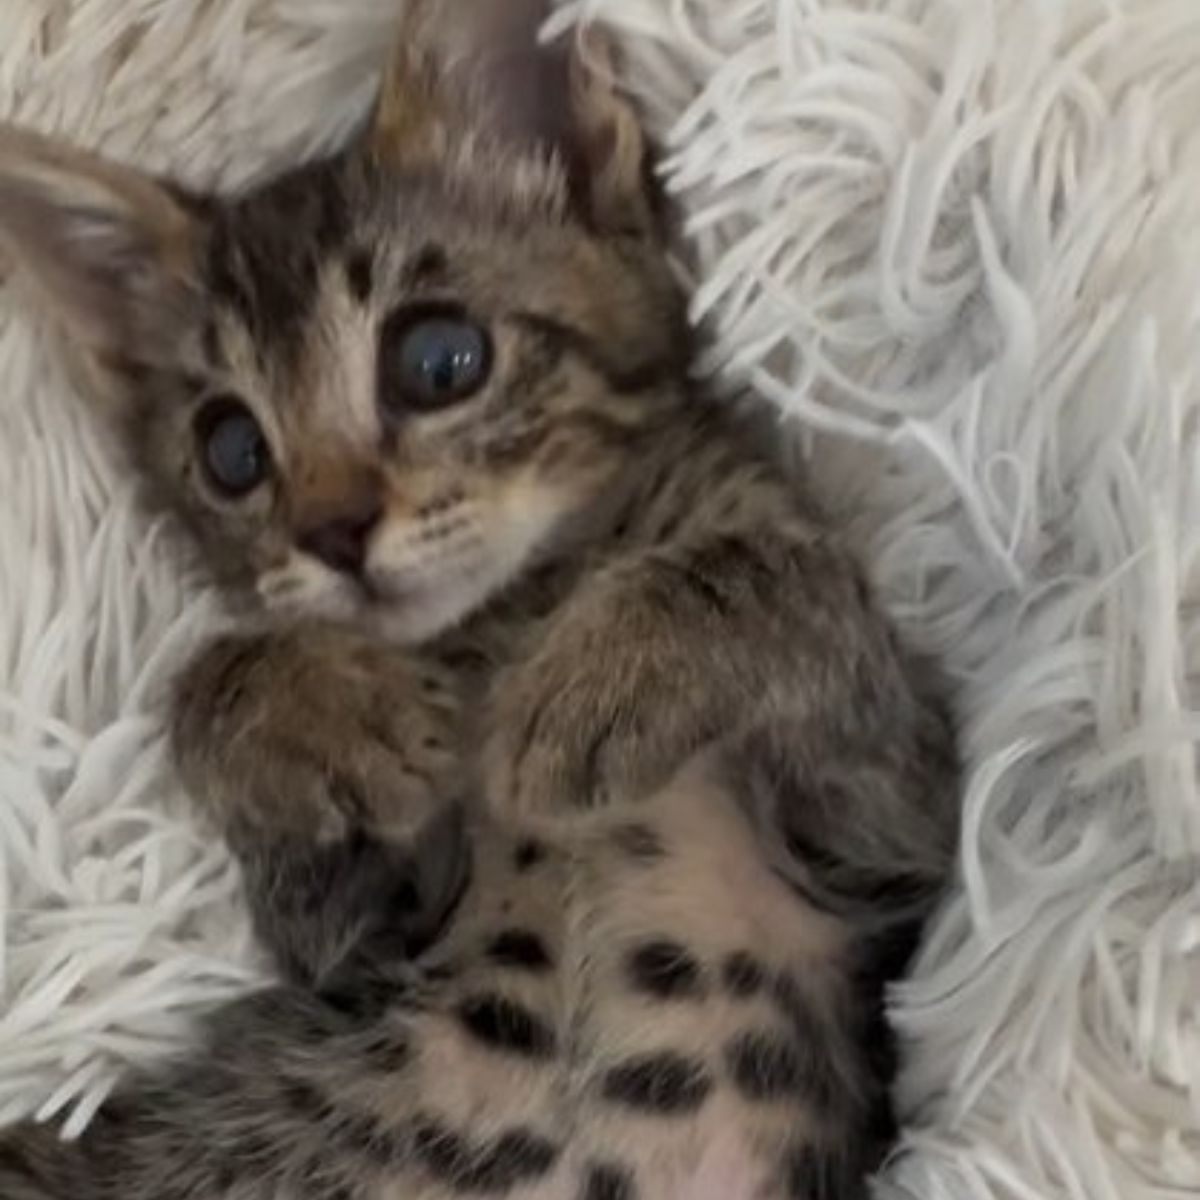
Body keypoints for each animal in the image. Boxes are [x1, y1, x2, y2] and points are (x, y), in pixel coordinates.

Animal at [0, 2, 955, 1200]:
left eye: (440, 358)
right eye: (230, 451)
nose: (334, 532)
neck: (517, 609)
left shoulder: (890, 852)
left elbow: (783, 581)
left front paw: (607, 675)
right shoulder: (360, 945)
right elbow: (240, 706)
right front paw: (322, 707)